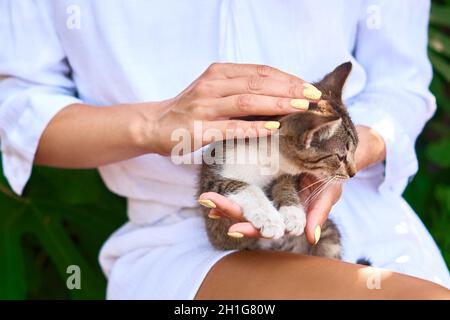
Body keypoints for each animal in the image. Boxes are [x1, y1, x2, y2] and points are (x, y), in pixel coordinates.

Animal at [197, 62, 358, 260]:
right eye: (341, 157)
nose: (353, 173)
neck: (267, 158)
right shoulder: (213, 180)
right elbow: (243, 187)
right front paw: (269, 217)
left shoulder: (286, 173)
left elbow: (286, 183)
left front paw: (293, 212)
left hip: (328, 234)